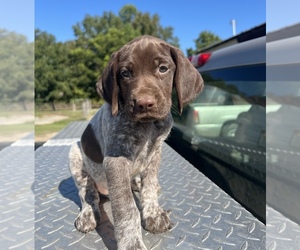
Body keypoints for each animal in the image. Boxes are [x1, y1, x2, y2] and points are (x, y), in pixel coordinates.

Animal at [69, 35, 203, 250]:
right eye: (125, 73)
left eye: (163, 69)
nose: (144, 103)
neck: (147, 126)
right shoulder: (116, 161)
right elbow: (127, 208)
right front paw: (131, 242)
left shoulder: (155, 152)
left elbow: (149, 185)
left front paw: (153, 213)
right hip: (75, 154)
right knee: (87, 191)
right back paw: (88, 213)